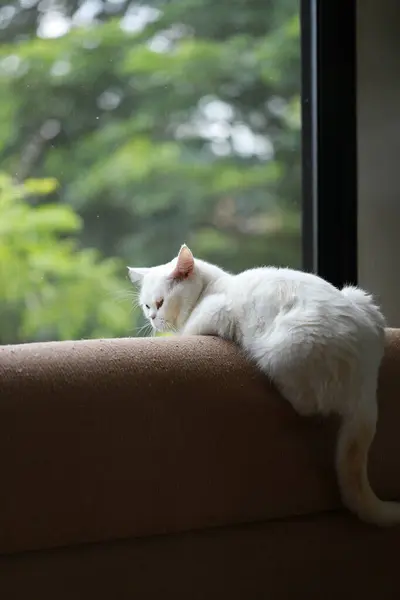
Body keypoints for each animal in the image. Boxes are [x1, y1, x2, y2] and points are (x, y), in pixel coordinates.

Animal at [129, 244, 400, 524]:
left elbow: (193, 330)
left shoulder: (215, 314)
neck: (212, 287)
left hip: (280, 353)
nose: (152, 318)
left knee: (307, 406)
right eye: (146, 306)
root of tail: (366, 378)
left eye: (160, 303)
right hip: (360, 298)